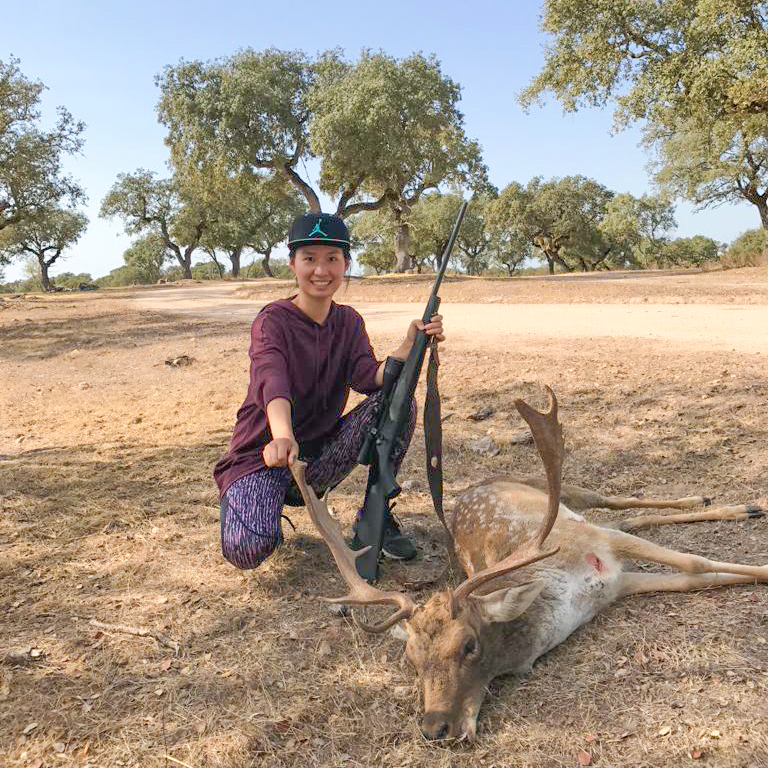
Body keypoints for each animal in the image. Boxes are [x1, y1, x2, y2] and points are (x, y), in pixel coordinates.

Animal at [290, 390, 768, 744]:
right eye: (411, 657)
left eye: (469, 645)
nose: (433, 728)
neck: (567, 602)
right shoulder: (617, 581)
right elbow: (693, 578)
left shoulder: (599, 545)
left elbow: (694, 559)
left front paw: (761, 568)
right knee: (626, 515)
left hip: (562, 493)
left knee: (614, 500)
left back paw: (728, 502)